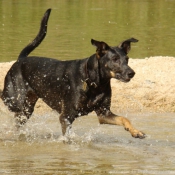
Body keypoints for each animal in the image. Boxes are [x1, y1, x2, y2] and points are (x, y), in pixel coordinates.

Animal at [1, 8, 145, 138]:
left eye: (127, 59)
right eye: (114, 59)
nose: (132, 73)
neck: (94, 81)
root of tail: (21, 59)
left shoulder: (103, 113)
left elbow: (124, 118)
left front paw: (135, 131)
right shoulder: (66, 117)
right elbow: (68, 137)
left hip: (26, 108)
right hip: (16, 101)